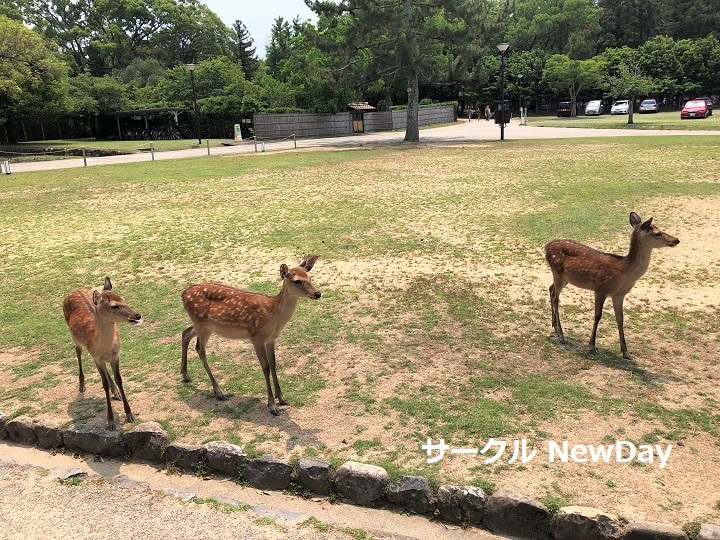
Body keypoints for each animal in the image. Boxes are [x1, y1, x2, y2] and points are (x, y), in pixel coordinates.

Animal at [64, 278, 144, 430]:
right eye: (114, 306)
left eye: (123, 299)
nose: (137, 315)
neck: (104, 347)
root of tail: (74, 291)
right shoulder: (96, 357)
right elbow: (104, 384)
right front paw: (111, 421)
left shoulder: (115, 356)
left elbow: (119, 380)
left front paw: (130, 414)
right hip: (75, 337)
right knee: (78, 350)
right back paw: (82, 384)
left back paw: (116, 392)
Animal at [181, 255, 322, 416]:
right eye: (297, 281)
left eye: (310, 277)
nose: (317, 294)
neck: (273, 318)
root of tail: (183, 294)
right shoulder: (256, 337)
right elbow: (265, 367)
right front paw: (272, 406)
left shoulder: (271, 339)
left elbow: (273, 364)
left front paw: (282, 398)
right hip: (202, 324)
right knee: (199, 348)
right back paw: (218, 392)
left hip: (204, 325)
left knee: (185, 333)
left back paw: (185, 375)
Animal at [544, 211, 680, 358]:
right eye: (657, 233)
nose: (676, 240)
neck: (623, 272)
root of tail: (546, 248)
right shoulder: (600, 288)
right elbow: (598, 315)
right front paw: (592, 346)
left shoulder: (619, 295)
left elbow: (620, 318)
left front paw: (626, 352)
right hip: (557, 272)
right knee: (556, 298)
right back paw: (561, 336)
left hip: (565, 278)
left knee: (551, 289)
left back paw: (555, 327)